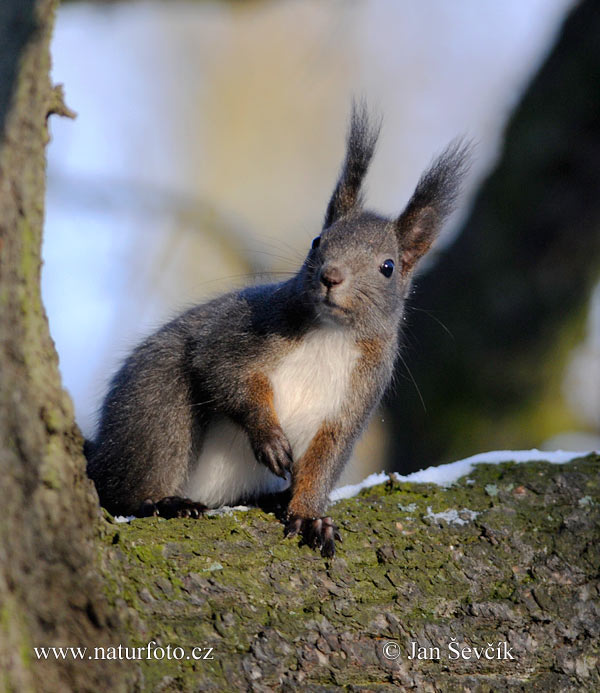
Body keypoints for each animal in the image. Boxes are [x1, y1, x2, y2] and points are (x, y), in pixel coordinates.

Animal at [85, 104, 468, 556]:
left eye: (387, 267)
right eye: (318, 241)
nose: (330, 277)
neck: (330, 334)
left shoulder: (356, 398)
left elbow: (324, 460)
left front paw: (310, 516)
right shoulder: (243, 331)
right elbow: (221, 370)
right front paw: (267, 436)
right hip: (157, 408)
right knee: (125, 488)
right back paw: (163, 501)